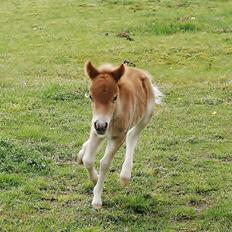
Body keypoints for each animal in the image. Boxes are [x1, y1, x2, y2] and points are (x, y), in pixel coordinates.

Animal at [77, 61, 162, 208]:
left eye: (115, 97)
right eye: (91, 96)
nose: (101, 125)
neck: (112, 118)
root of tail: (140, 72)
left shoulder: (118, 136)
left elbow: (105, 163)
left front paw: (97, 198)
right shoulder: (95, 130)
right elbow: (88, 159)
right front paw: (94, 179)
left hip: (146, 116)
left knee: (132, 136)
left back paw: (125, 175)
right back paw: (82, 152)